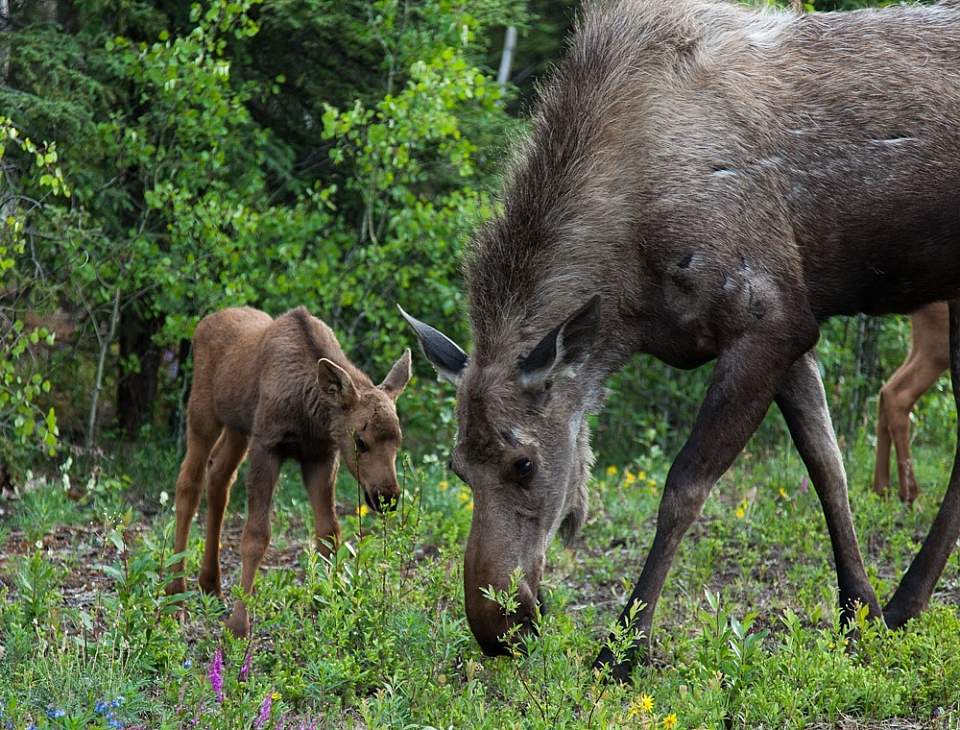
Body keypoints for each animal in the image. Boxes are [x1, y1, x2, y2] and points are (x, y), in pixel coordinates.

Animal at [166, 304, 412, 636]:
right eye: (360, 441)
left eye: (398, 439)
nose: (387, 496)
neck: (312, 414)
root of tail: (203, 323)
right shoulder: (268, 445)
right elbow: (256, 535)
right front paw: (239, 623)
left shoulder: (320, 456)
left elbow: (329, 533)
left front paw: (326, 606)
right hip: (203, 414)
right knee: (188, 484)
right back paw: (175, 597)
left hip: (238, 427)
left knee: (218, 476)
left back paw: (210, 584)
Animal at [402, 0, 960, 676]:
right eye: (457, 466)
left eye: (523, 462)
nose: (497, 629)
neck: (630, 295)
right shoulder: (788, 333)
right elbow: (828, 467)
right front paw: (860, 614)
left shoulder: (768, 319)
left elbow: (684, 489)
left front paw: (623, 646)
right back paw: (904, 602)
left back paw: (909, 598)